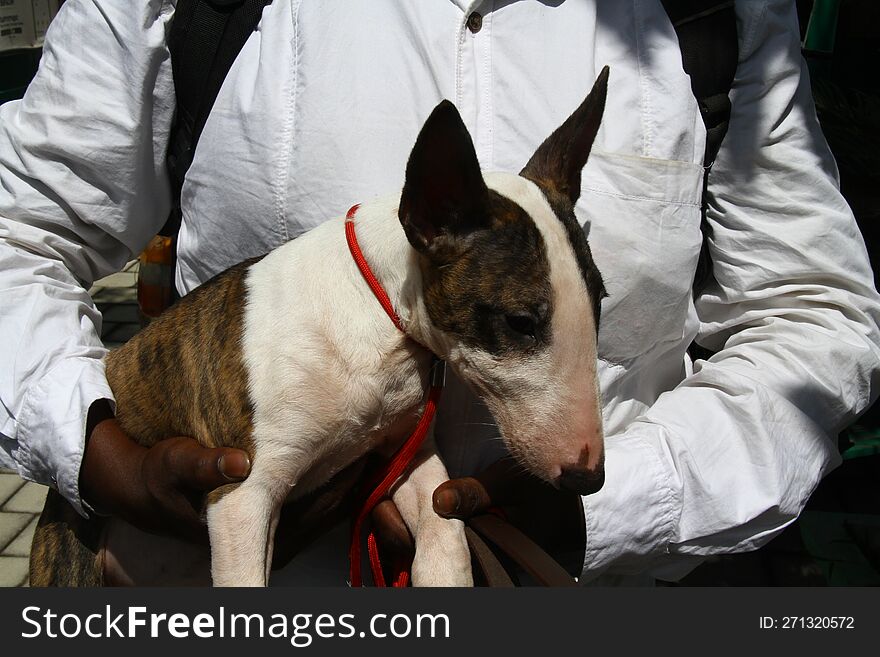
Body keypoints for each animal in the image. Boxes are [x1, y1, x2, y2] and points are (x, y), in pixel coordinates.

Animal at [27, 68, 604, 588]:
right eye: (520, 322)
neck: (372, 314)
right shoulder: (242, 491)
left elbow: (446, 527)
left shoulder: (406, 453)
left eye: (600, 300)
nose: (590, 476)